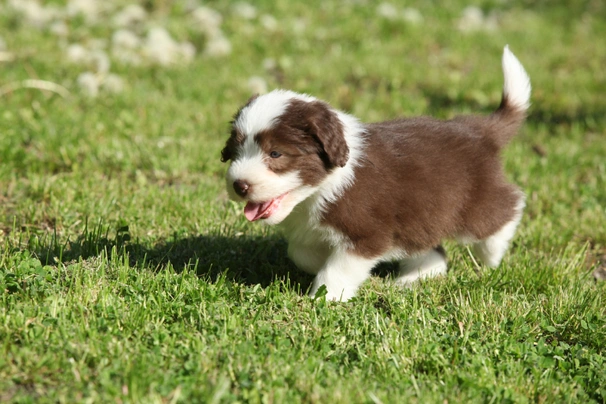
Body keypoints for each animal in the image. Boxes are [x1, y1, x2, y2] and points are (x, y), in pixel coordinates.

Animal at [222, 46, 532, 300]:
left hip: (473, 201)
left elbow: (337, 269)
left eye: (275, 154)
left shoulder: (366, 235)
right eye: (235, 151)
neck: (318, 191)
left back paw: (493, 253)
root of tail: (478, 129)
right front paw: (320, 261)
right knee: (432, 249)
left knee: (507, 207)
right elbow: (300, 253)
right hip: (420, 214)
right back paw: (413, 279)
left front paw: (325, 298)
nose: (239, 185)